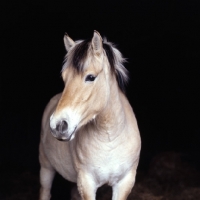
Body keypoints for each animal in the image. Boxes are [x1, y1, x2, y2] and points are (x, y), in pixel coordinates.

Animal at [39, 30, 141, 200]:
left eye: (91, 77)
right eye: (64, 78)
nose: (58, 125)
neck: (109, 139)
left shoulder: (124, 183)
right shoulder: (86, 183)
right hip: (46, 168)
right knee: (45, 191)